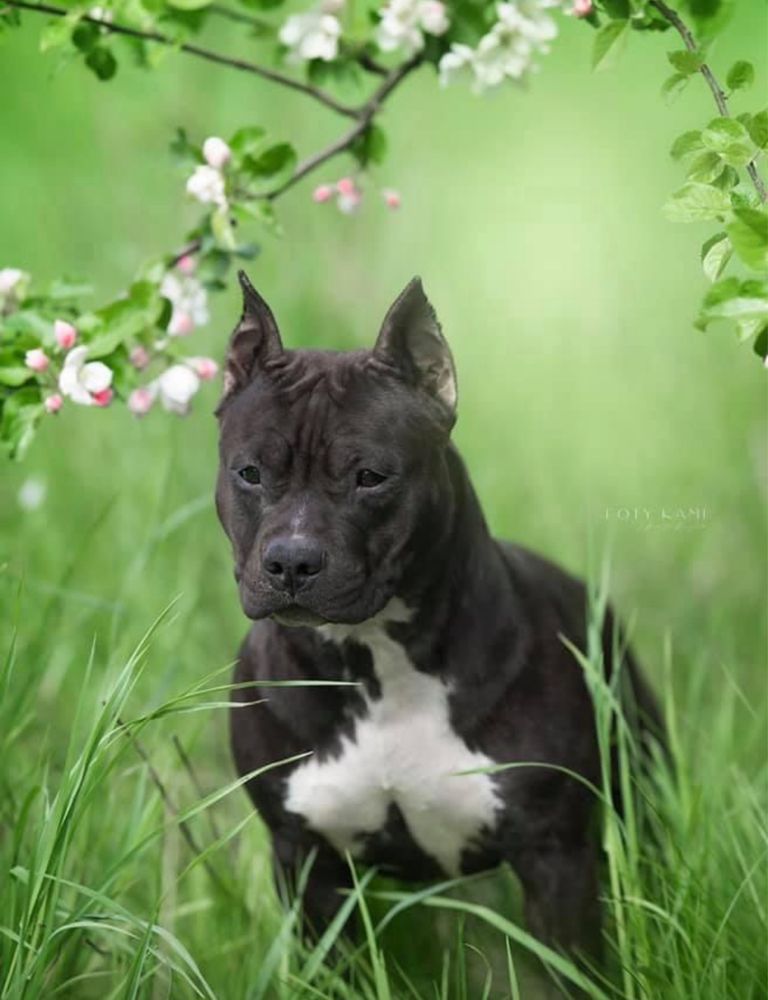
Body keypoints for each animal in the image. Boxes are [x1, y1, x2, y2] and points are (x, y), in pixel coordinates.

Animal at [214, 272, 660, 960]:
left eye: (371, 477)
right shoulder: (308, 864)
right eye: (250, 473)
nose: (291, 560)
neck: (379, 663)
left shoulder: (556, 858)